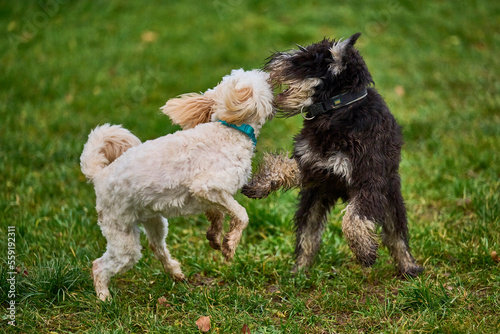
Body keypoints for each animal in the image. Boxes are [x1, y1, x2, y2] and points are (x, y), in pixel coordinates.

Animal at [80, 69, 274, 302]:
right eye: (263, 81)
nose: (270, 74)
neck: (230, 129)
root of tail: (99, 175)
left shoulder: (210, 196)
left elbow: (219, 214)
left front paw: (215, 236)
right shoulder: (207, 186)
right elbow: (242, 214)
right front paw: (230, 244)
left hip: (155, 221)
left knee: (157, 247)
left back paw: (175, 273)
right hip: (122, 238)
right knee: (99, 266)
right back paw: (104, 298)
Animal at [244, 32, 424, 276]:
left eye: (304, 61)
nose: (271, 62)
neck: (337, 110)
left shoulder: (369, 181)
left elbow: (353, 219)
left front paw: (364, 251)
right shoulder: (312, 166)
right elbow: (282, 166)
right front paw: (259, 185)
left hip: (390, 198)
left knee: (397, 237)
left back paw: (409, 267)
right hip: (313, 202)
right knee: (308, 238)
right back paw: (299, 271)